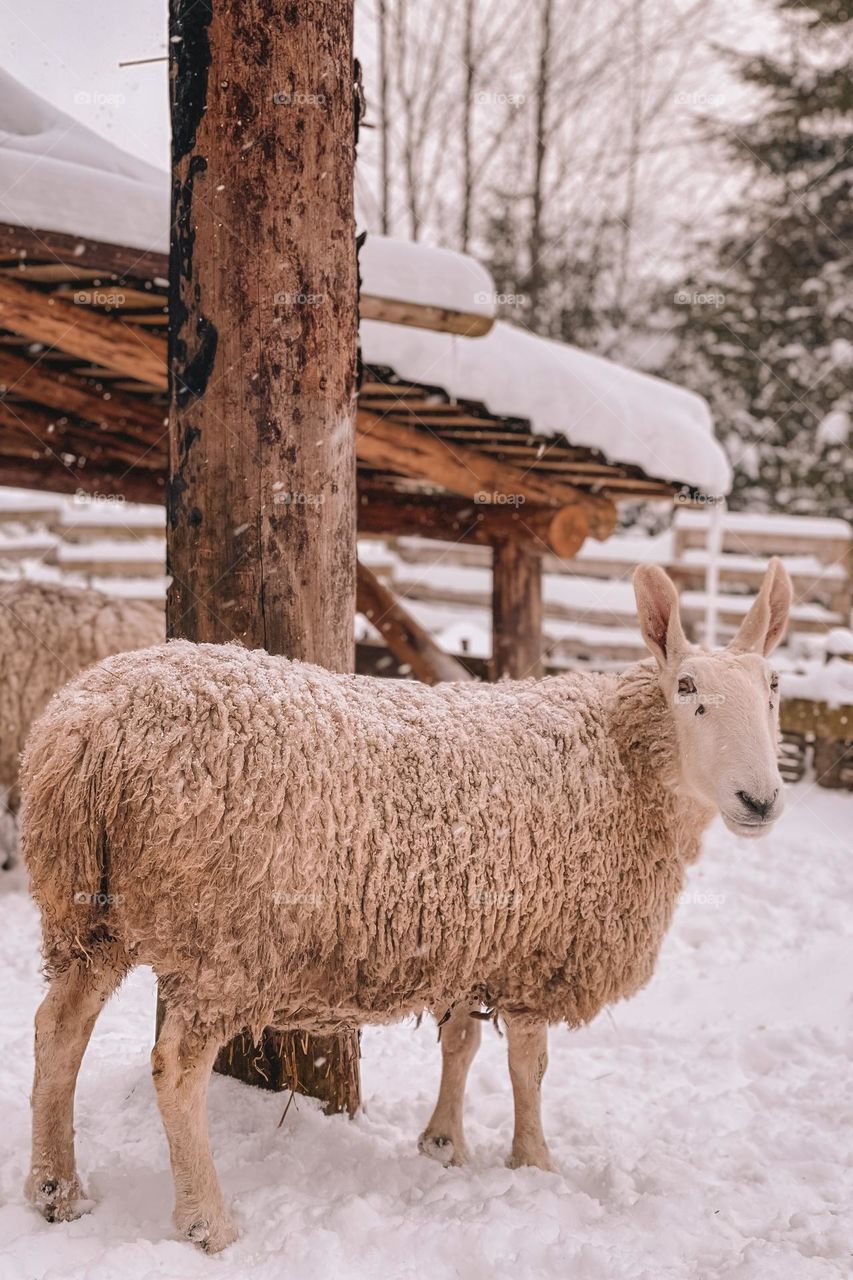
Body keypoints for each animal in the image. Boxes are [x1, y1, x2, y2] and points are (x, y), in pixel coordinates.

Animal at [19, 558, 788, 1249]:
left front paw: (443, 1144)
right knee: (176, 1067)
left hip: (87, 911)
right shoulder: (536, 949)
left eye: (773, 688)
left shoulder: (473, 936)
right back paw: (207, 1222)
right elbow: (529, 1065)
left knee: (58, 1028)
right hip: (222, 937)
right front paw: (533, 1162)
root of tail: (90, 732)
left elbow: (461, 1042)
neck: (623, 762)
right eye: (686, 686)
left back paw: (56, 1189)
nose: (760, 800)